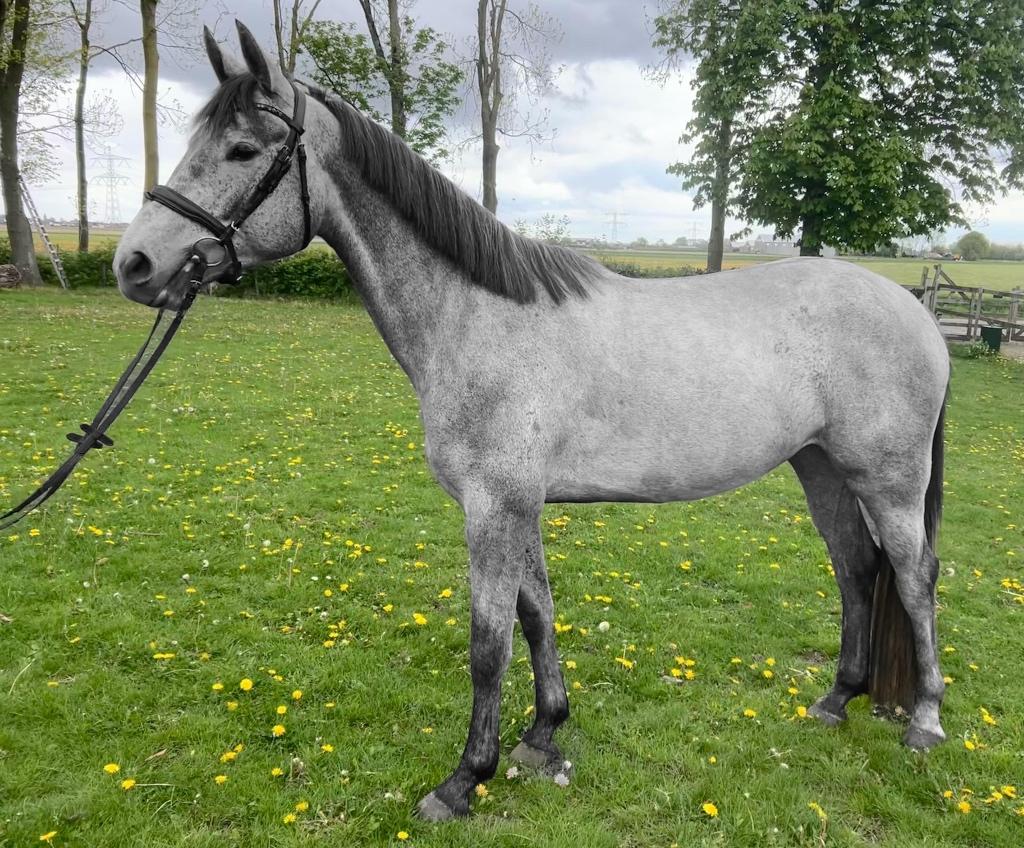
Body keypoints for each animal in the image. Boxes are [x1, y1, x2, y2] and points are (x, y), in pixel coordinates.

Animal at [113, 22, 950, 821]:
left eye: (242, 148)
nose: (134, 264)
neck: (477, 317)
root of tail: (919, 313)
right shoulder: (520, 507)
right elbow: (538, 616)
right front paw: (544, 735)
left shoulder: (493, 506)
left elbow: (489, 645)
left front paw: (463, 781)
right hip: (821, 466)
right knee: (856, 569)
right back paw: (837, 699)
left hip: (888, 478)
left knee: (913, 576)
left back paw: (925, 723)